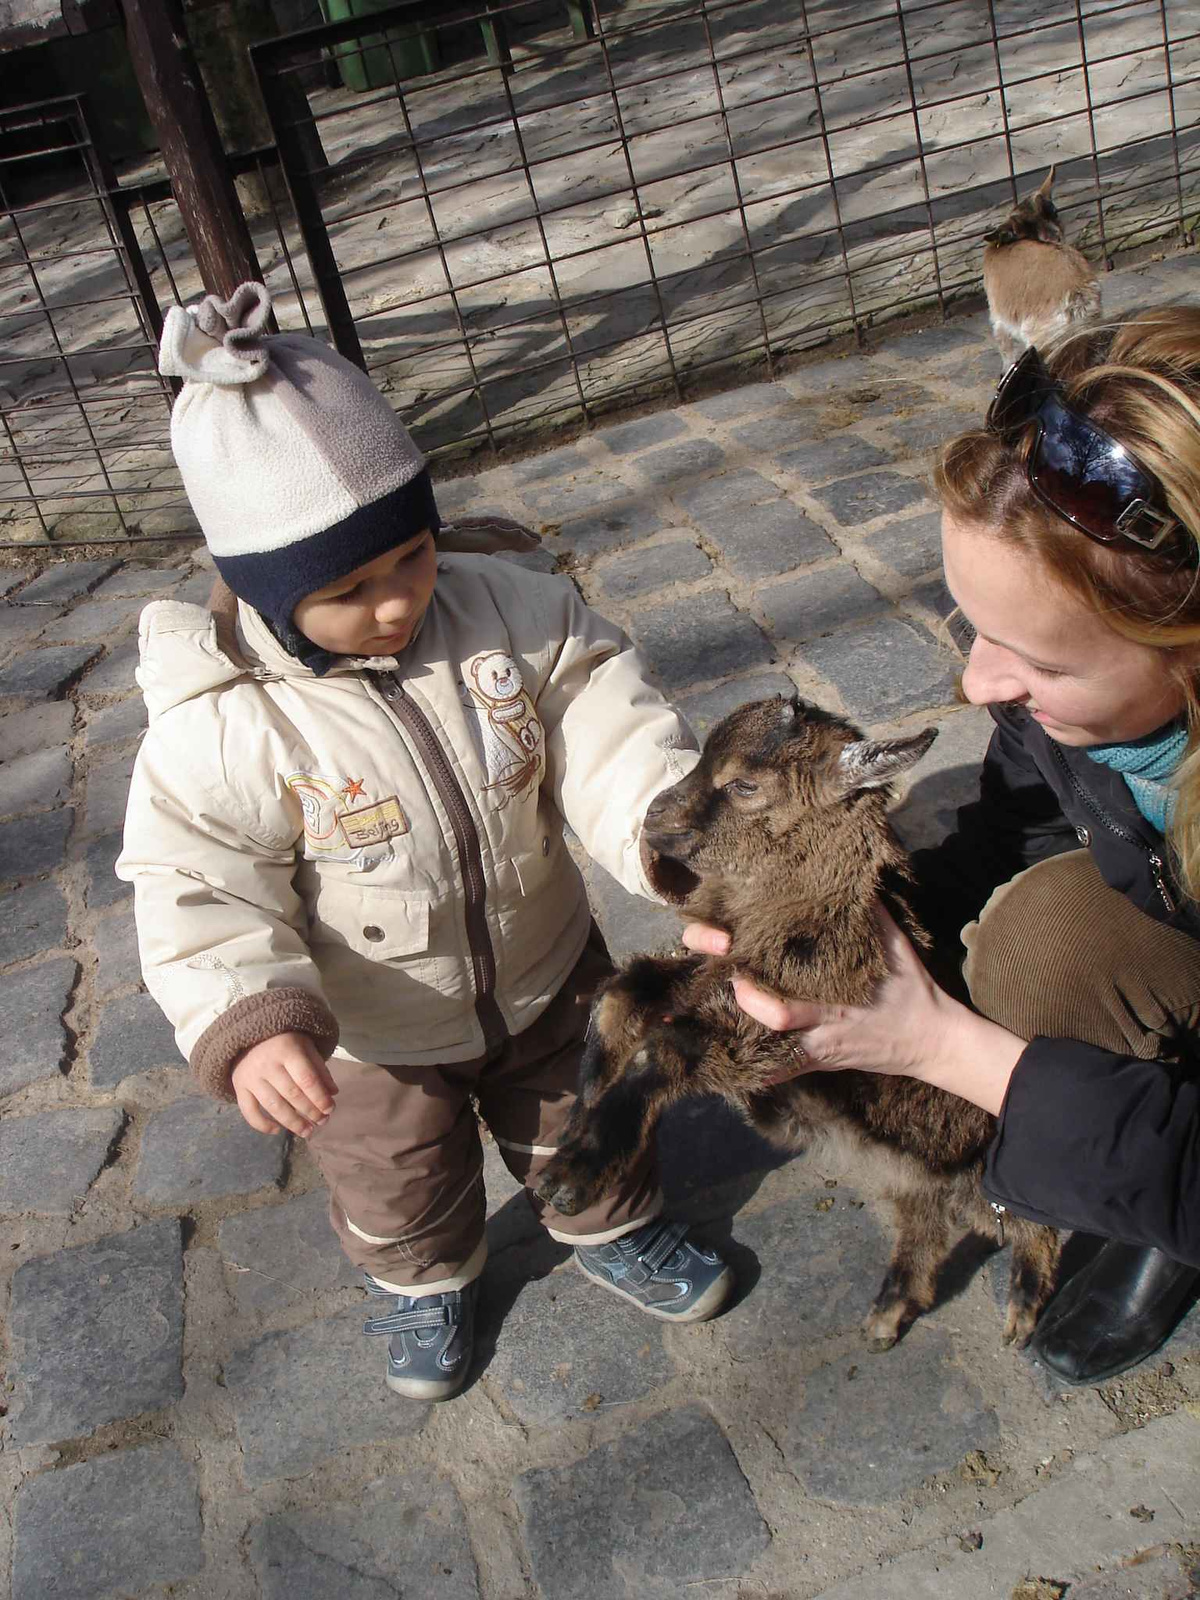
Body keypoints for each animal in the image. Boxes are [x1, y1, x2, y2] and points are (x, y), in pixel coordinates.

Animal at [540, 700, 1068, 1350]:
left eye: (744, 785)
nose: (656, 814)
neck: (797, 897)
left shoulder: (772, 1019)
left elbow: (663, 1048)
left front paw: (572, 1178)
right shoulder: (717, 967)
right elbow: (620, 993)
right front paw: (580, 1114)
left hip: (983, 1172)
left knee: (1036, 1223)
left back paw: (1022, 1310)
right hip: (908, 1166)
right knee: (926, 1218)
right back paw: (889, 1313)